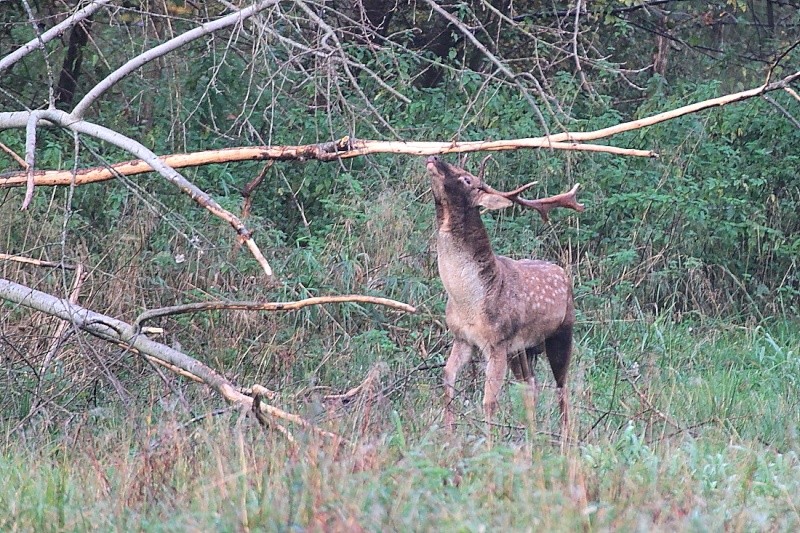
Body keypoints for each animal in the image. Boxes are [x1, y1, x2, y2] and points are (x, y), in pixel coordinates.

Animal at [424, 154, 588, 432]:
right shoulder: (462, 338)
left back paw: (564, 436)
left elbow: (489, 401)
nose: (434, 157)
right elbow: (447, 379)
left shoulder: (498, 341)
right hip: (522, 349)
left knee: (561, 389)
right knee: (530, 384)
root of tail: (563, 273)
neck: (468, 302)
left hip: (563, 331)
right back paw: (531, 434)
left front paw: (489, 440)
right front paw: (448, 434)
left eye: (466, 179)